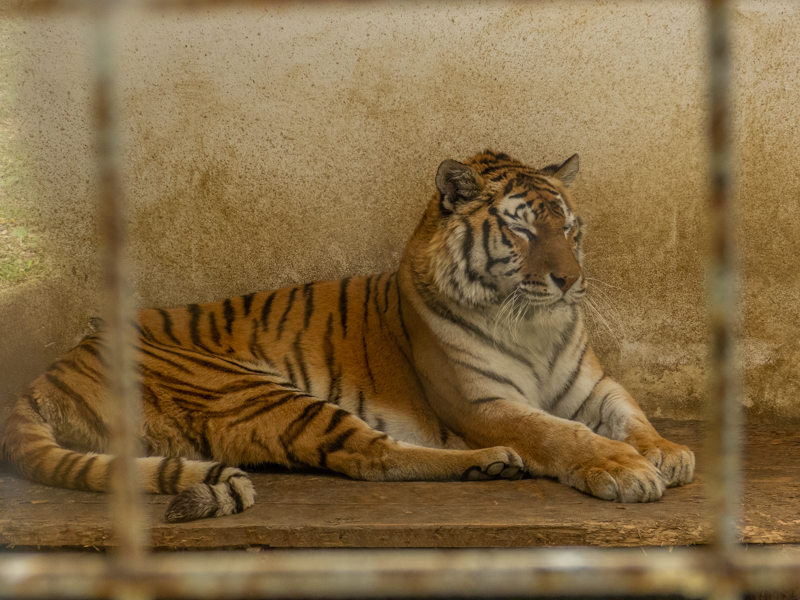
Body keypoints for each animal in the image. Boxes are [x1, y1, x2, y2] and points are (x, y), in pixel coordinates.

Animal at [0, 150, 695, 523]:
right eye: (522, 230)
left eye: (571, 229)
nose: (570, 280)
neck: (535, 326)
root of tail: (53, 369)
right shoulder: (482, 402)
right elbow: (558, 434)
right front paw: (624, 470)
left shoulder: (592, 385)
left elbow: (629, 413)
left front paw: (667, 451)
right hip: (252, 391)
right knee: (367, 457)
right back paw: (488, 462)